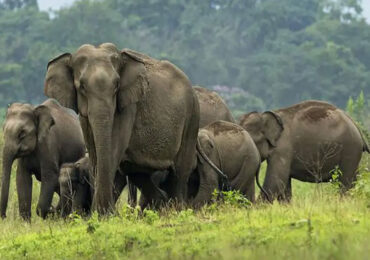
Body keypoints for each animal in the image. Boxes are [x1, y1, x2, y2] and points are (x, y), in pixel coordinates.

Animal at [45, 42, 201, 213]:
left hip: (192, 118)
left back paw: (176, 210)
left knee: (179, 172)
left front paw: (103, 214)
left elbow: (114, 148)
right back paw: (163, 204)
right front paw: (100, 214)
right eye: (82, 87)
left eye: (116, 86)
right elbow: (94, 152)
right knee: (137, 172)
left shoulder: (128, 105)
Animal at [238, 100, 368, 202]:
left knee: (345, 183)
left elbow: (276, 181)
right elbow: (284, 185)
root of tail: (356, 126)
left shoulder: (283, 148)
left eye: (252, 141)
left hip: (350, 150)